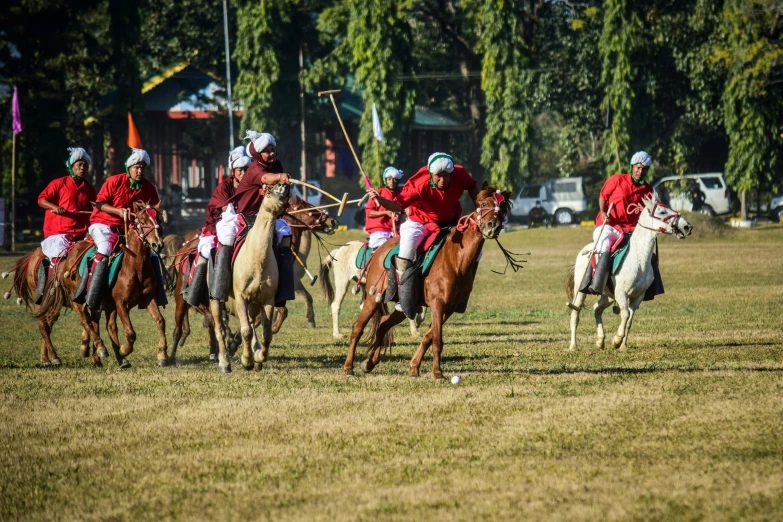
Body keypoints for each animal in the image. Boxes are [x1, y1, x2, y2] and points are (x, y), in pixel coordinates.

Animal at [36, 199, 168, 366]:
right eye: (142, 221)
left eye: (159, 220)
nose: (158, 244)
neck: (135, 265)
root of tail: (67, 254)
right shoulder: (121, 303)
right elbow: (130, 332)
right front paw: (125, 349)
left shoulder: (148, 298)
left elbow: (160, 321)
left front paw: (162, 355)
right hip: (77, 298)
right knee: (85, 321)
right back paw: (99, 348)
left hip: (104, 303)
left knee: (105, 325)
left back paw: (113, 358)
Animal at [211, 182, 290, 370]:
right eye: (268, 192)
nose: (284, 185)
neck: (256, 258)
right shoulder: (241, 297)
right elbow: (245, 330)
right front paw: (247, 360)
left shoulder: (268, 299)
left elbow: (266, 332)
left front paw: (260, 356)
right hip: (216, 301)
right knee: (219, 328)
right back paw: (224, 361)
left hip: (254, 304)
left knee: (253, 323)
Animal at [344, 184, 516, 378]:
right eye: (484, 203)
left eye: (503, 207)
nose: (493, 226)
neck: (456, 259)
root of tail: (377, 251)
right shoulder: (438, 303)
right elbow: (437, 340)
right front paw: (437, 372)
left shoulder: (449, 308)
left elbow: (429, 336)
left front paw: (414, 367)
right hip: (373, 298)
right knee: (357, 327)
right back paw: (348, 367)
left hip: (406, 304)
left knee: (383, 324)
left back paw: (369, 362)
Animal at [568, 194, 696, 350]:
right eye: (662, 211)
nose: (687, 226)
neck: (638, 259)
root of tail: (586, 248)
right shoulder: (621, 293)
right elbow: (625, 314)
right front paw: (616, 340)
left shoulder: (638, 296)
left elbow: (629, 318)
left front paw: (623, 345)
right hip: (581, 290)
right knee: (575, 313)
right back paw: (573, 345)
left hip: (608, 295)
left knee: (597, 308)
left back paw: (600, 341)